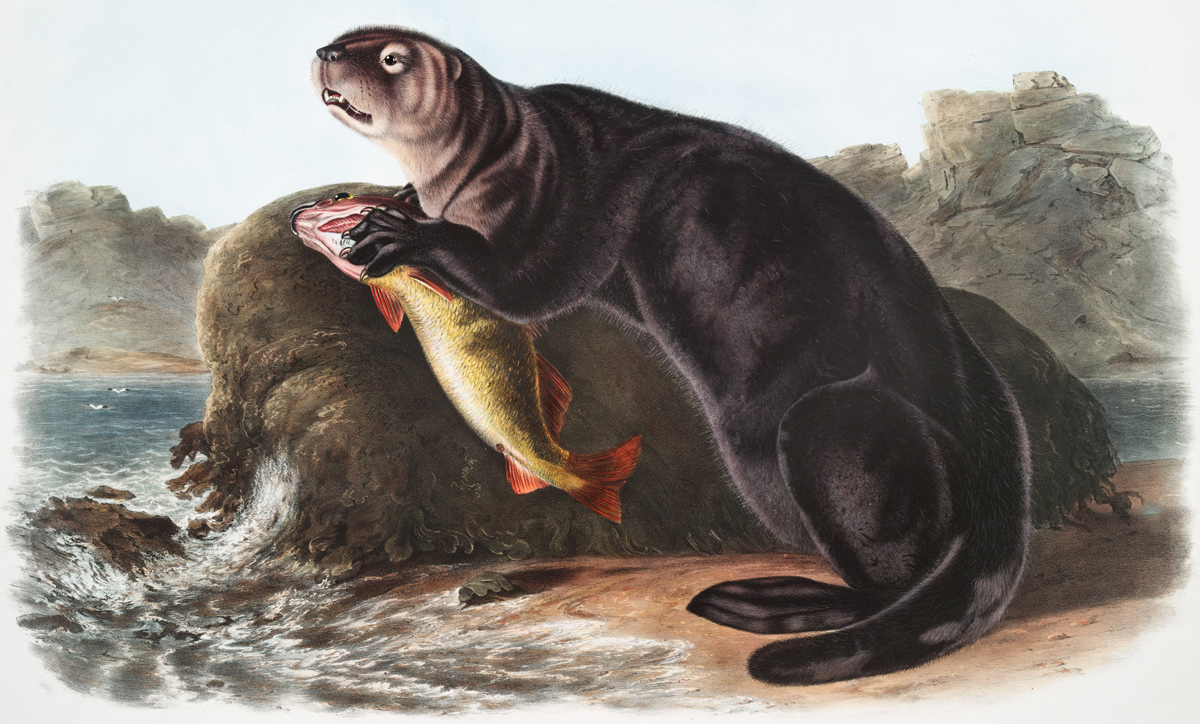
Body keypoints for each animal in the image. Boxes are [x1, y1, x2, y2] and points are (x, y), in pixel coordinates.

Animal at [312, 26, 1032, 685]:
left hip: (835, 425)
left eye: (392, 58)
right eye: (348, 37)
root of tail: (1001, 482)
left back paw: (768, 602)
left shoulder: (568, 203)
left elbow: (530, 284)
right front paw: (400, 202)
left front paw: (396, 230)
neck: (512, 153)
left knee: (889, 576)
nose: (326, 53)